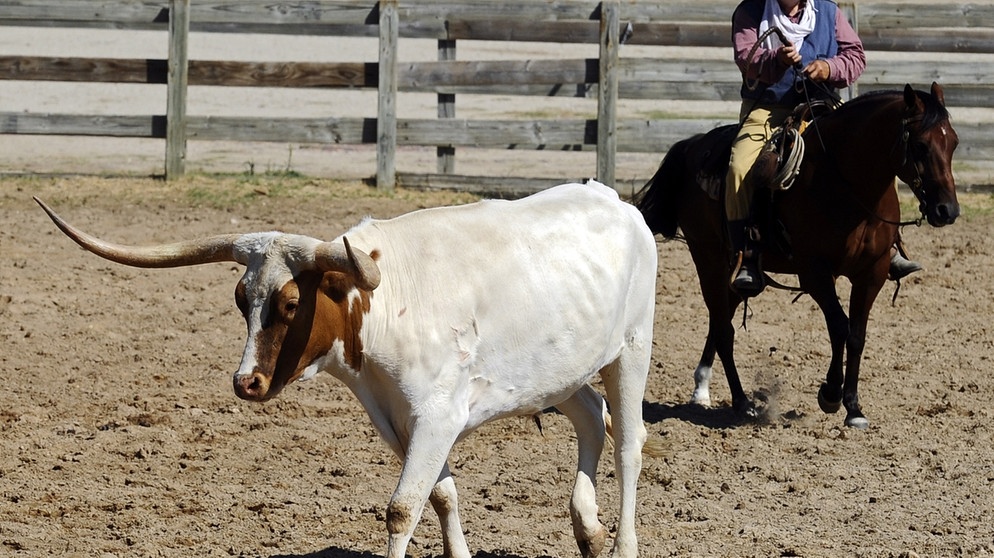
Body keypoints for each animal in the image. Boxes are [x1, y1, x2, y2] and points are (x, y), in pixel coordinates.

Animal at [636, 83, 960, 430]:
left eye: (953, 143)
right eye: (921, 145)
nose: (947, 210)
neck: (844, 183)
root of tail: (692, 146)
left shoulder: (871, 273)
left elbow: (857, 335)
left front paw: (854, 408)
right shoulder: (815, 273)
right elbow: (840, 327)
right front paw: (830, 394)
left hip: (733, 273)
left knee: (721, 318)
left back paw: (702, 389)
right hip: (707, 257)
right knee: (724, 329)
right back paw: (742, 402)